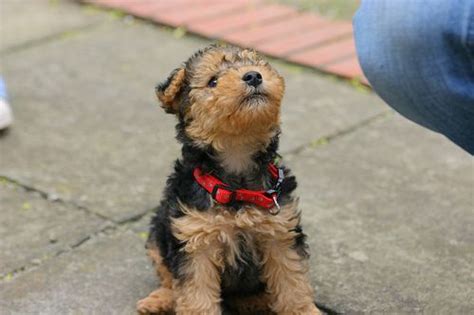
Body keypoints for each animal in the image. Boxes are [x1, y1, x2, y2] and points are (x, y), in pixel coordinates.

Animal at [137, 45, 322, 315]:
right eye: (213, 81)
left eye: (255, 63)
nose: (253, 76)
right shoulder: (196, 242)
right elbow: (195, 295)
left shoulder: (280, 234)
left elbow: (292, 282)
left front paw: (303, 310)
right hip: (157, 235)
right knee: (168, 278)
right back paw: (159, 300)